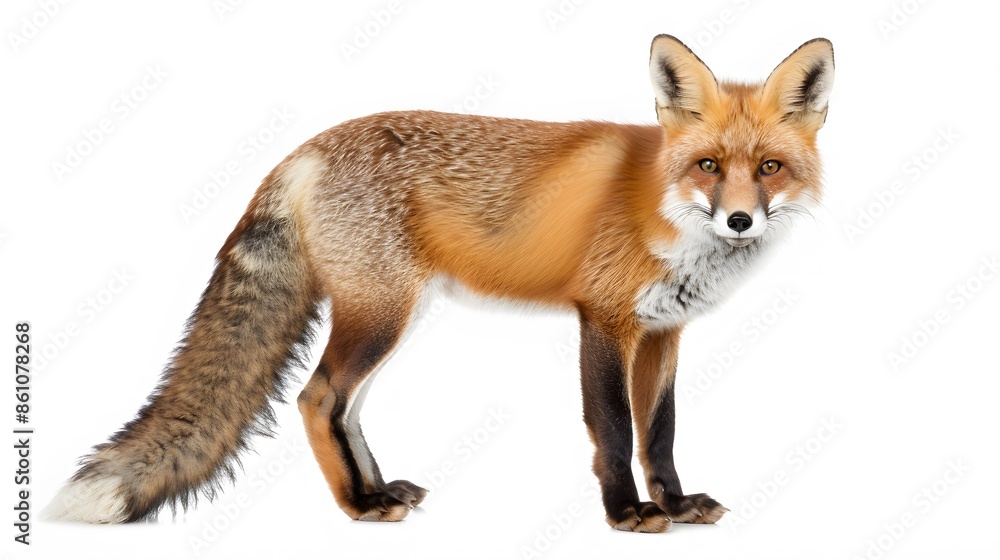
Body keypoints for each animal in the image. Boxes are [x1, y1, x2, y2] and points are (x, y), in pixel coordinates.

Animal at [47, 35, 834, 532]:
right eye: (708, 166)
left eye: (769, 168)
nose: (739, 220)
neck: (662, 209)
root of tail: (306, 149)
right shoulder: (603, 320)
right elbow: (613, 428)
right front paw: (626, 514)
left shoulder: (664, 330)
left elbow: (660, 432)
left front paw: (672, 505)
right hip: (380, 316)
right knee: (316, 398)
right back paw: (358, 508)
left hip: (391, 317)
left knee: (347, 409)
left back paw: (376, 489)